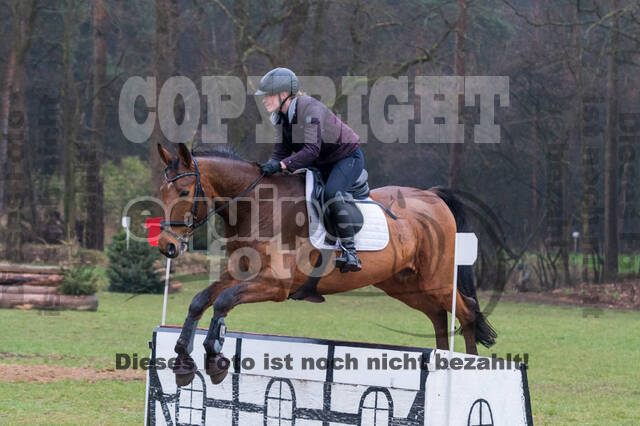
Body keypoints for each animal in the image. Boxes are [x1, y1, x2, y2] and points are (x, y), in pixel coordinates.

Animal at [155, 143, 496, 386]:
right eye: (161, 191)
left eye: (184, 192)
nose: (167, 246)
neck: (259, 205)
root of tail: (433, 197)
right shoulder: (241, 272)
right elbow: (201, 300)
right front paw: (183, 360)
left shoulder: (275, 284)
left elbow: (223, 301)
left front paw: (214, 358)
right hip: (407, 286)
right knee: (439, 315)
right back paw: (444, 358)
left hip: (436, 280)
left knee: (465, 311)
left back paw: (470, 368)